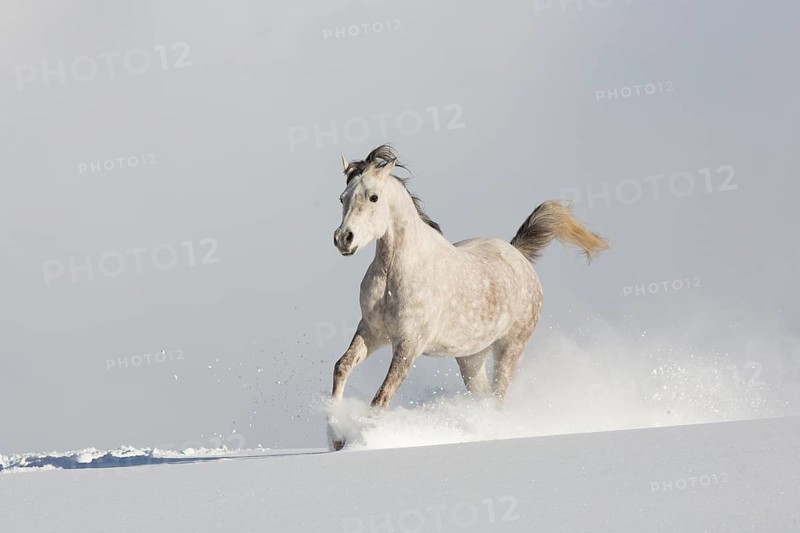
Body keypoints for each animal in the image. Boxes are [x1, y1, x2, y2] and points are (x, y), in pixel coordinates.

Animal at [329, 144, 608, 450]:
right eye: (342, 197)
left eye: (373, 197)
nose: (344, 239)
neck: (395, 271)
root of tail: (518, 253)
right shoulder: (372, 332)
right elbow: (342, 367)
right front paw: (336, 439)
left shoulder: (409, 343)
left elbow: (381, 398)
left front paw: (363, 442)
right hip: (472, 358)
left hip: (509, 349)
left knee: (498, 399)